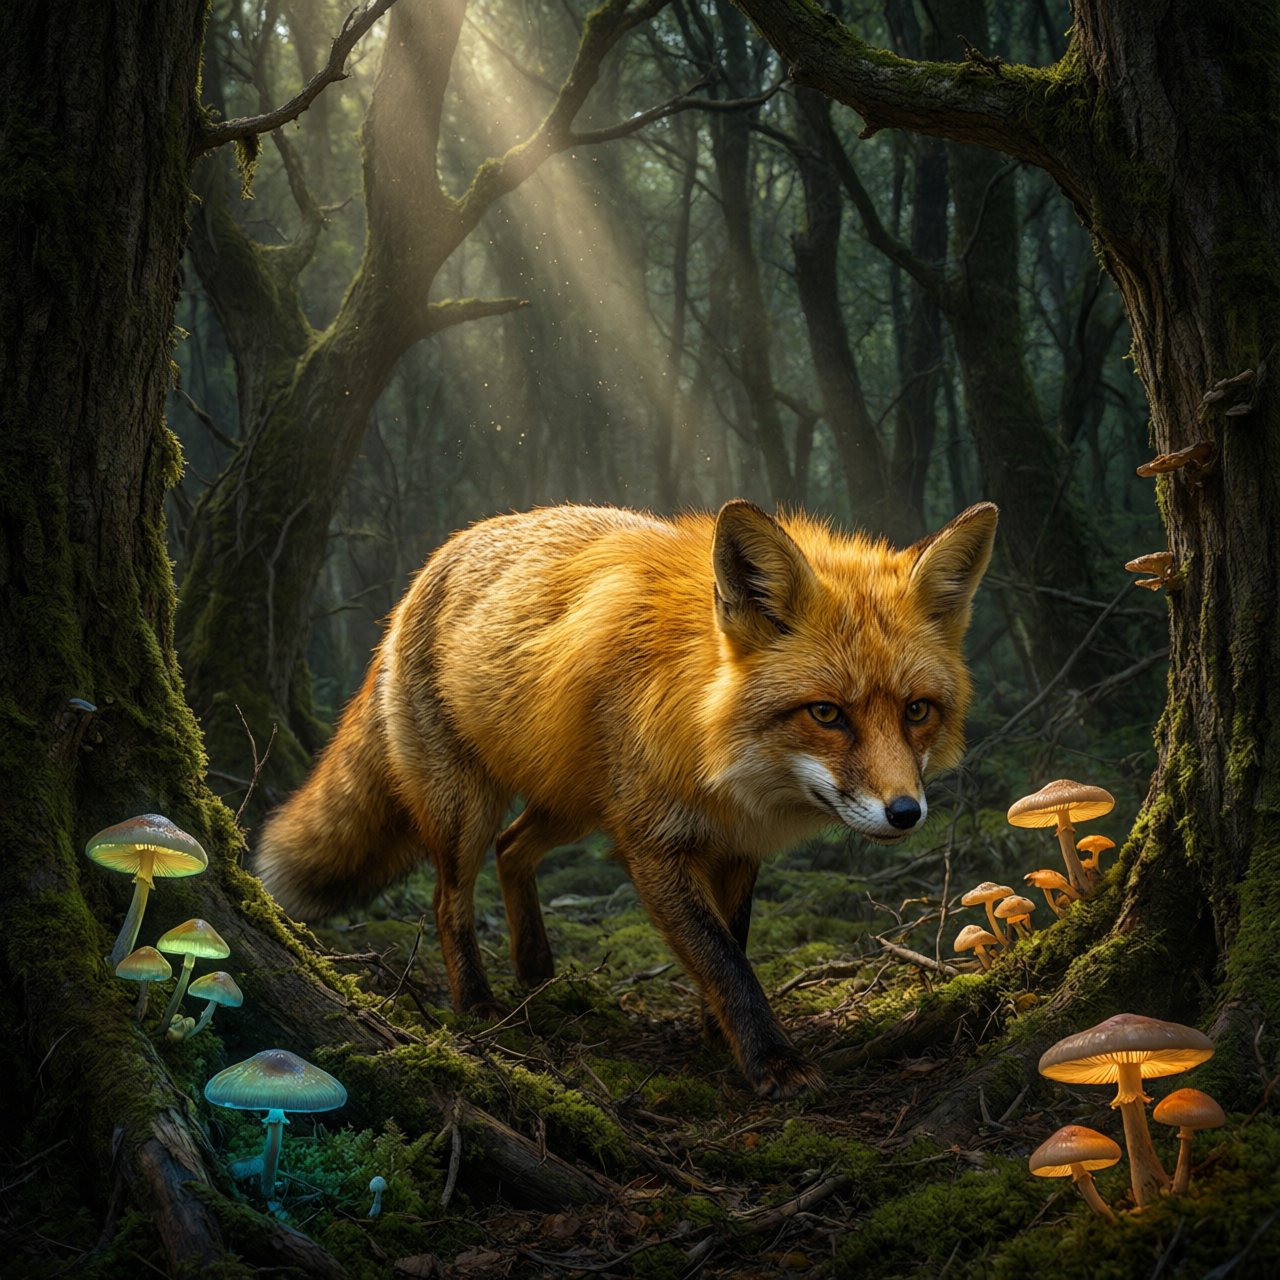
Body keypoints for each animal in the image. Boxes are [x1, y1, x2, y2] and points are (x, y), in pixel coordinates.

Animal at [256, 500, 997, 1097]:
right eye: (827, 714)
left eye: (917, 710)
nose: (906, 813)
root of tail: (436, 560)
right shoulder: (653, 845)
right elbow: (723, 958)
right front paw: (770, 1060)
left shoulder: (736, 846)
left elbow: (734, 940)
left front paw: (718, 1033)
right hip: (468, 806)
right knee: (449, 900)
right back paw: (478, 1006)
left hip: (576, 802)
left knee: (513, 849)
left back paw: (536, 968)